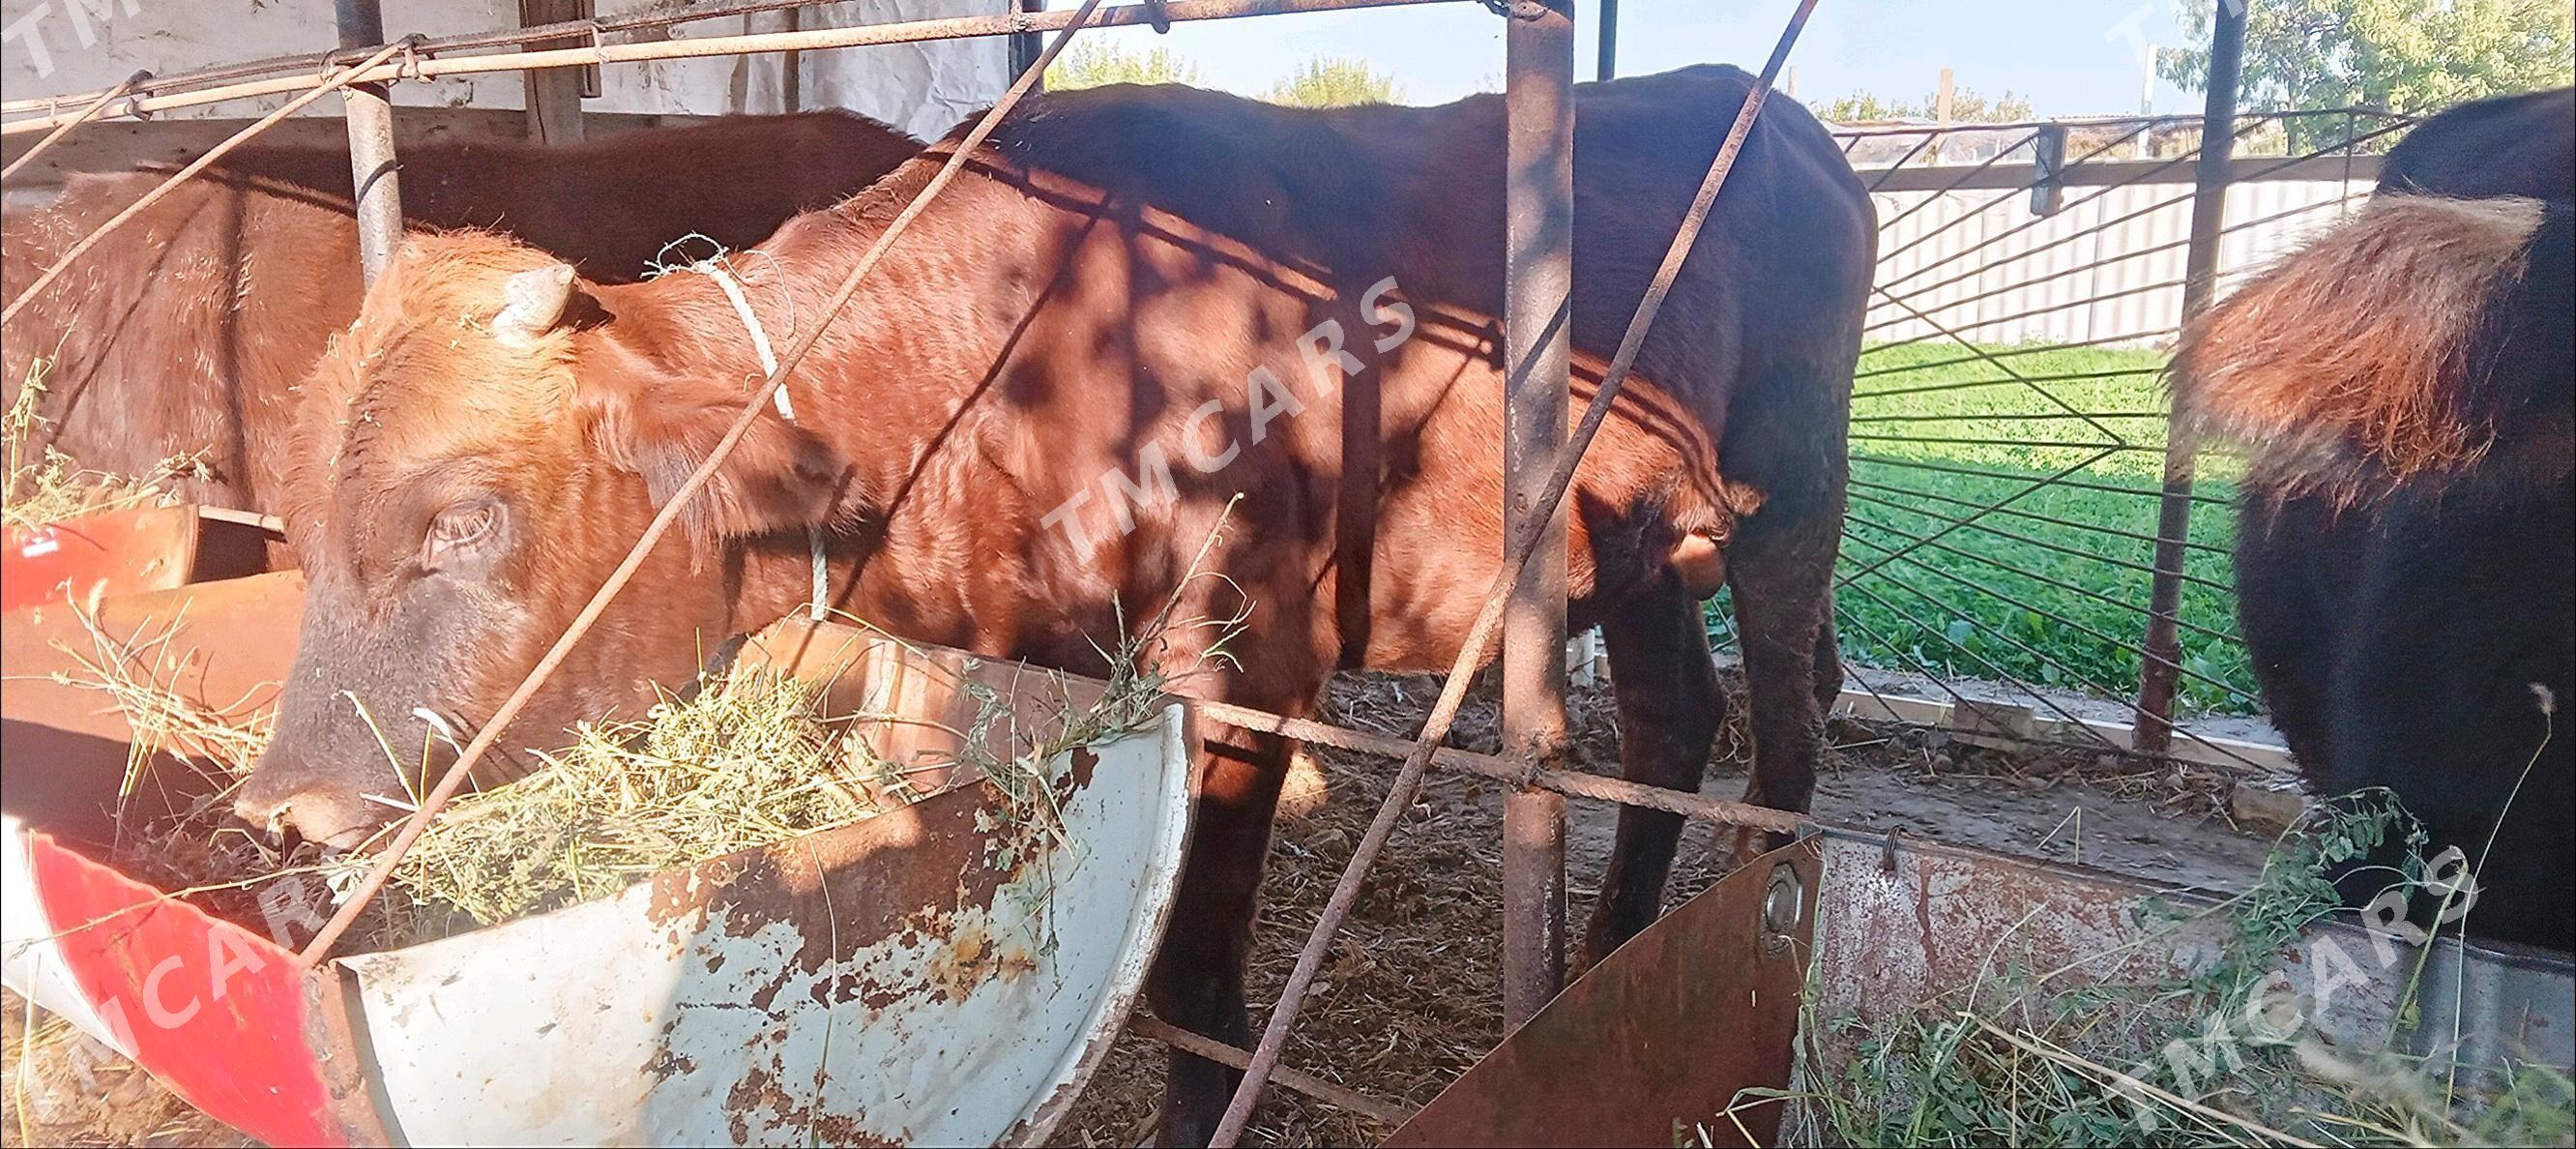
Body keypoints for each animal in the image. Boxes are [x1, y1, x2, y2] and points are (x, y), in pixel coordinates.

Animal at [231, 67, 1864, 1143]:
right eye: (300, 513)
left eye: (460, 519)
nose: (284, 809)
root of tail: (1764, 104)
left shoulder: (1244, 665)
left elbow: (1195, 970)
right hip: (1631, 546)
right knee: (1674, 717)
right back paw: (1610, 961)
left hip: (1795, 486)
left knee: (1791, 713)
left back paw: (1767, 939)